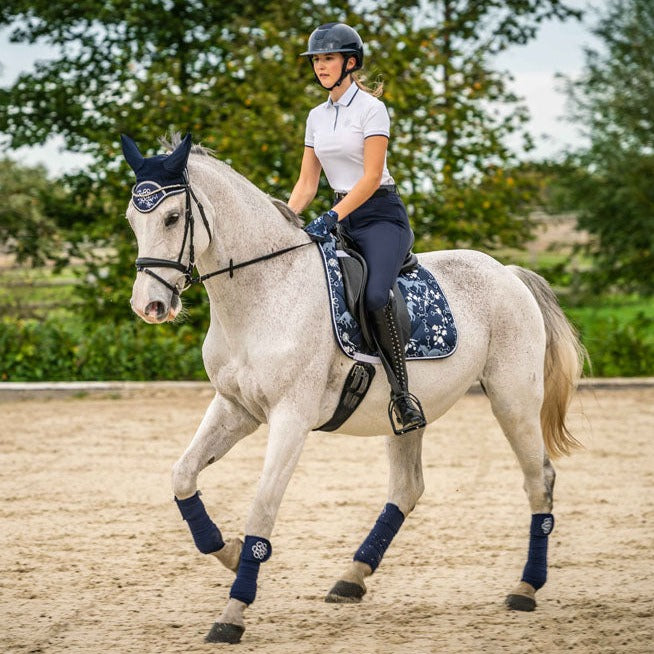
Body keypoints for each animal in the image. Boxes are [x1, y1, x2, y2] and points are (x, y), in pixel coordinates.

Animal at [120, 133, 585, 644]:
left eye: (171, 217)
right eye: (132, 220)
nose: (150, 306)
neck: (264, 291)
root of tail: (508, 272)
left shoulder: (291, 417)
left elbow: (262, 506)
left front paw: (233, 612)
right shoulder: (235, 407)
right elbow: (183, 476)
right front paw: (229, 551)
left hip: (512, 399)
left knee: (539, 479)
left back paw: (525, 588)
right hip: (408, 415)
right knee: (407, 487)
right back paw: (351, 577)